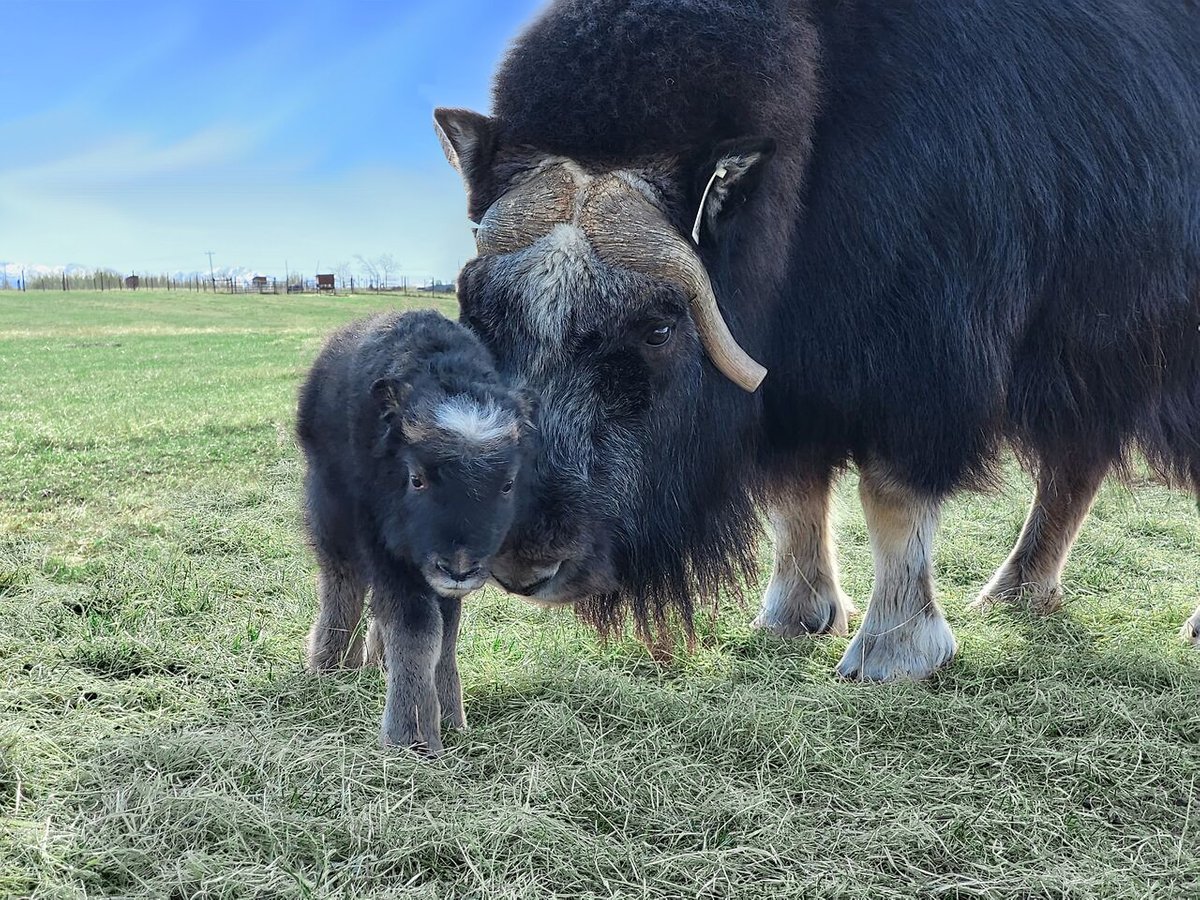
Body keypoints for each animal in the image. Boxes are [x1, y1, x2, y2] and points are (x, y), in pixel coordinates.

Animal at [295, 312, 535, 753]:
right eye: (417, 478)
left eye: (508, 484)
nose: (459, 569)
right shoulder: (386, 548)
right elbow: (417, 628)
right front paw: (412, 735)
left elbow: (446, 634)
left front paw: (453, 719)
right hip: (332, 514)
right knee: (343, 582)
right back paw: (332, 666)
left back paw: (376, 660)